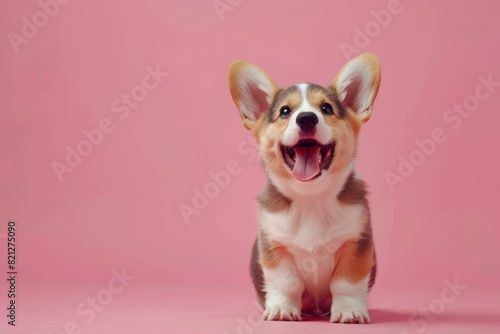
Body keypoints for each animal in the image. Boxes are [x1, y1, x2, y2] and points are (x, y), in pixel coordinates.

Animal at [229, 52, 380, 324]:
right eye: (285, 111)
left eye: (326, 108)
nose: (307, 118)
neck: (311, 198)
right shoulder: (275, 246)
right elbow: (286, 282)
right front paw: (282, 309)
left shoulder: (356, 243)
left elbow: (346, 283)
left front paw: (349, 311)